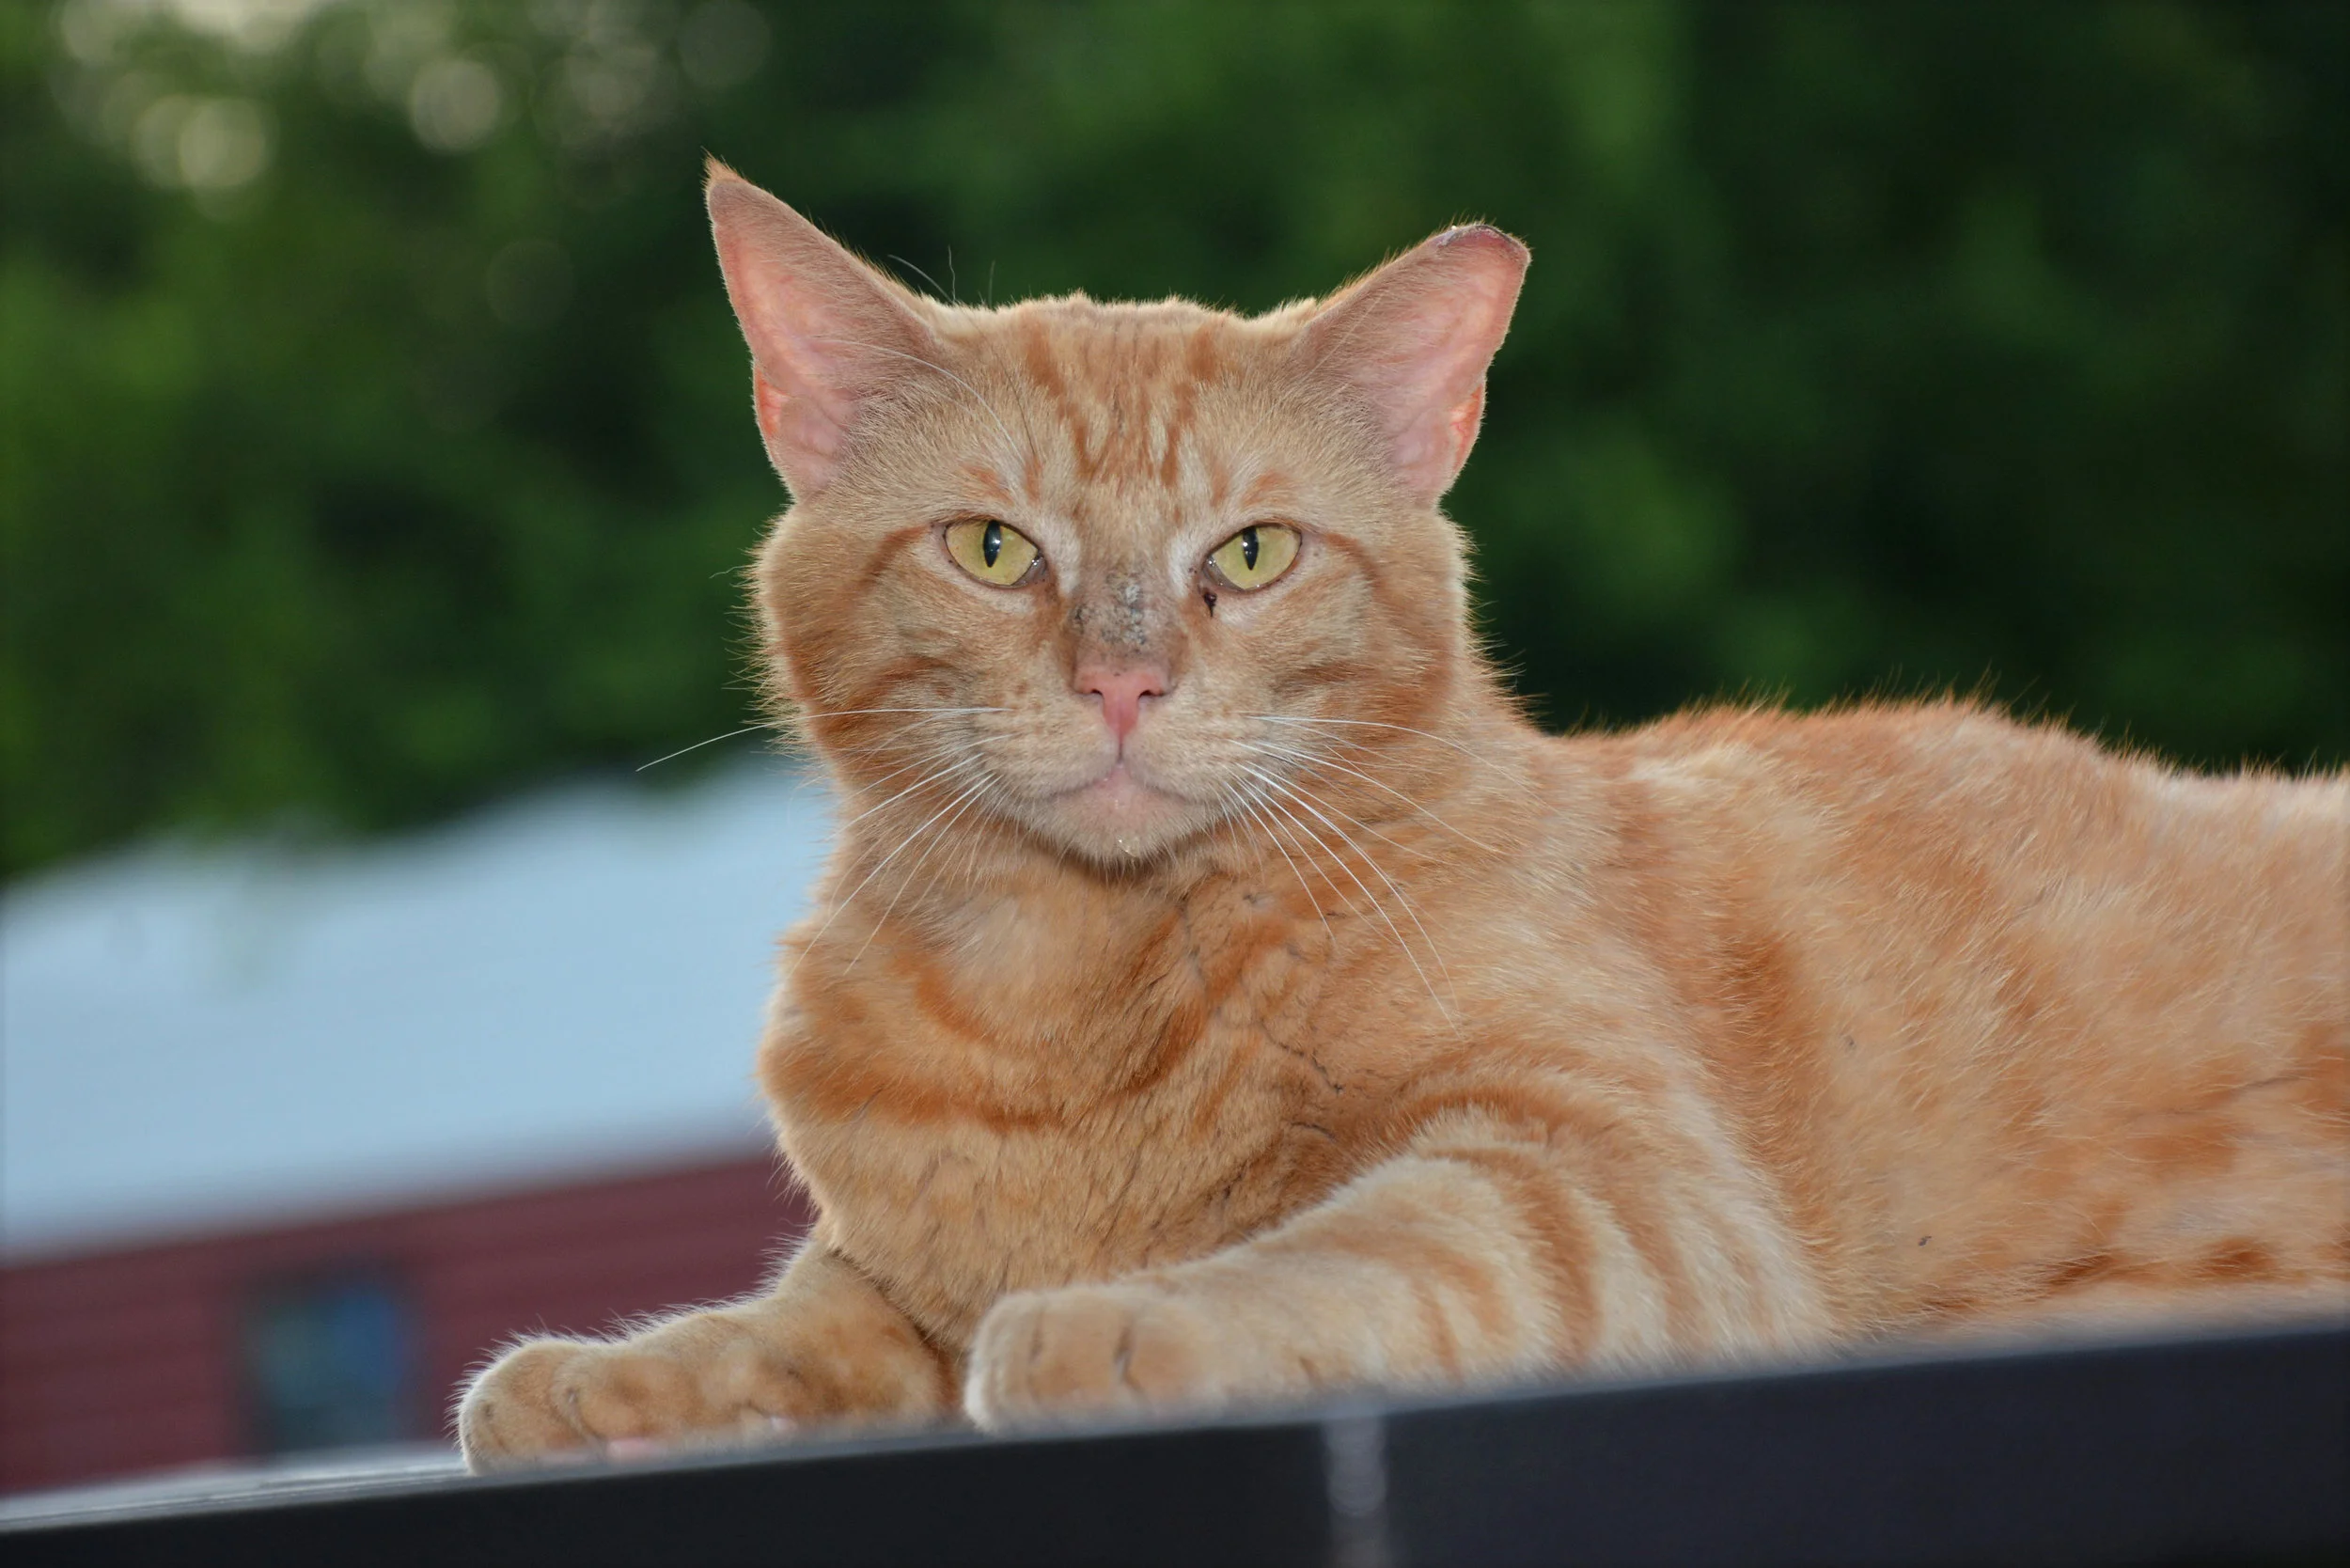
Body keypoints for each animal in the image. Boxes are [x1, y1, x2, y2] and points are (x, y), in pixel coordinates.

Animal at [448, 165, 2341, 1466]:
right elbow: (797, 1321)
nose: (1122, 681)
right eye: (995, 551)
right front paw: (613, 1376)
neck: (1064, 976)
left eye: (1251, 553)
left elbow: (1351, 1247)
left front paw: (1119, 1320)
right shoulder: (889, 1265)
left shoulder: (1612, 1184)